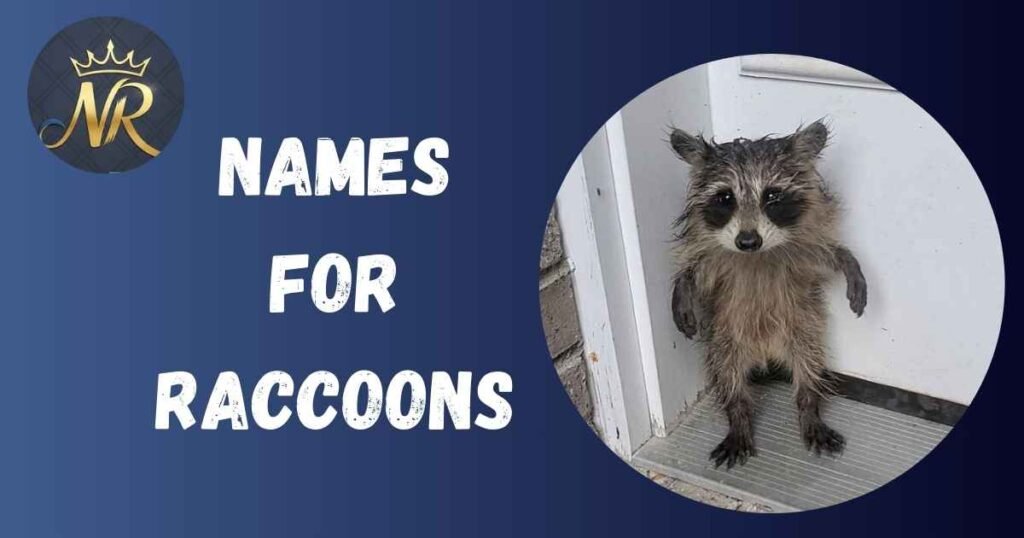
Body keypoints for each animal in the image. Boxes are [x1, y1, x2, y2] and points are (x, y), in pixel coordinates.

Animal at [669, 121, 867, 469]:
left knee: (809, 363)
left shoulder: (803, 250)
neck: (757, 256)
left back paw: (808, 405)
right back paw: (738, 415)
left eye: (772, 195)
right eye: (725, 197)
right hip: (725, 337)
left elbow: (828, 254)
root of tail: (766, 354)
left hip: (802, 326)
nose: (748, 241)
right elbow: (695, 270)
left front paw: (848, 261)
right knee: (727, 373)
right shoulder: (714, 258)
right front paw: (682, 287)